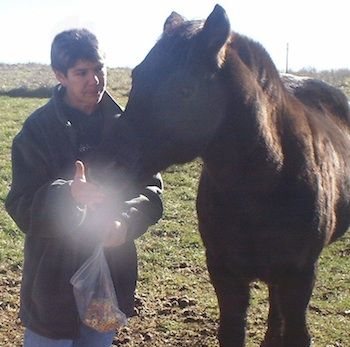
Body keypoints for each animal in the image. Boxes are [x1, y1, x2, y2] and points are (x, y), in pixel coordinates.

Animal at [89, 3, 350, 347]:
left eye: (184, 89)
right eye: (137, 76)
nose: (103, 166)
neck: (266, 182)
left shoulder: (300, 274)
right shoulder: (225, 273)